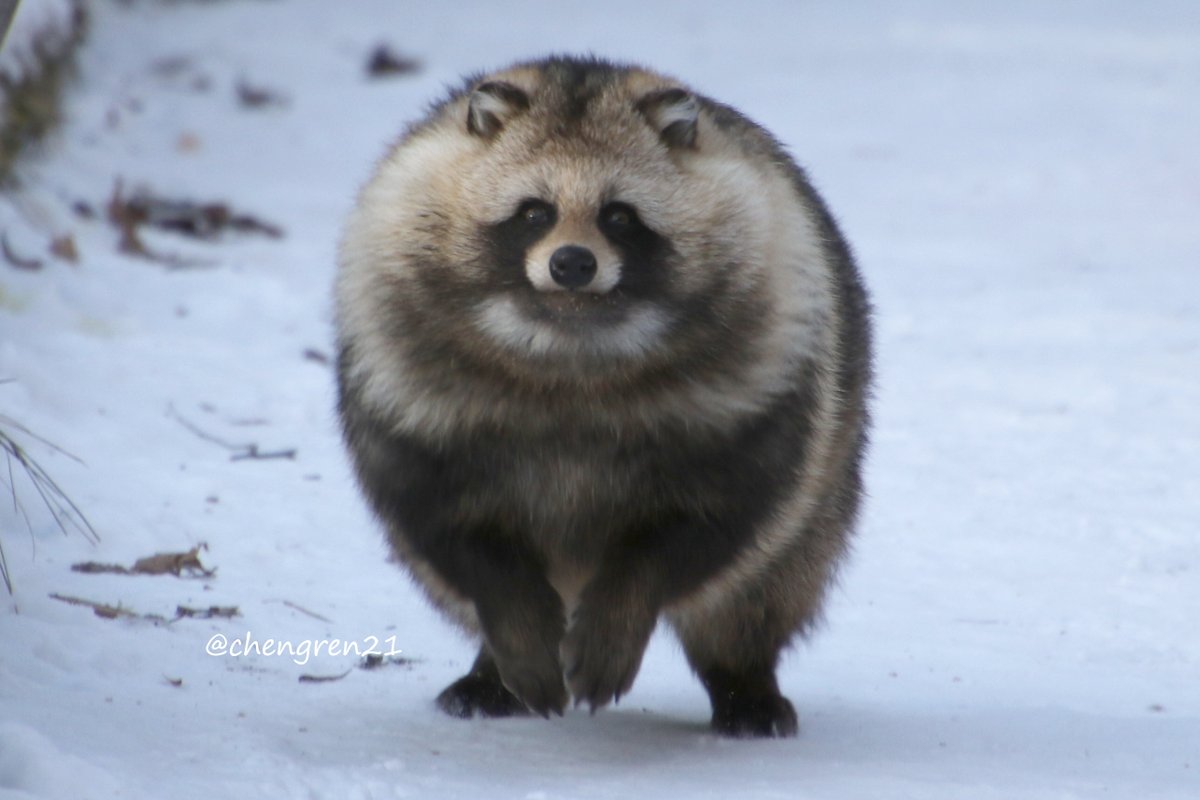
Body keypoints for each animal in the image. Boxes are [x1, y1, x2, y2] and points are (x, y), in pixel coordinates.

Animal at [338, 54, 873, 738]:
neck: (568, 347)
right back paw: (491, 668)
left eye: (619, 216)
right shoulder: (405, 388)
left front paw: (618, 619)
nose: (572, 263)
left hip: (823, 486)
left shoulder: (760, 387)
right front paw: (517, 634)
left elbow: (695, 529)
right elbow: (455, 528)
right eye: (534, 212)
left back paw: (743, 678)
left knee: (764, 586)